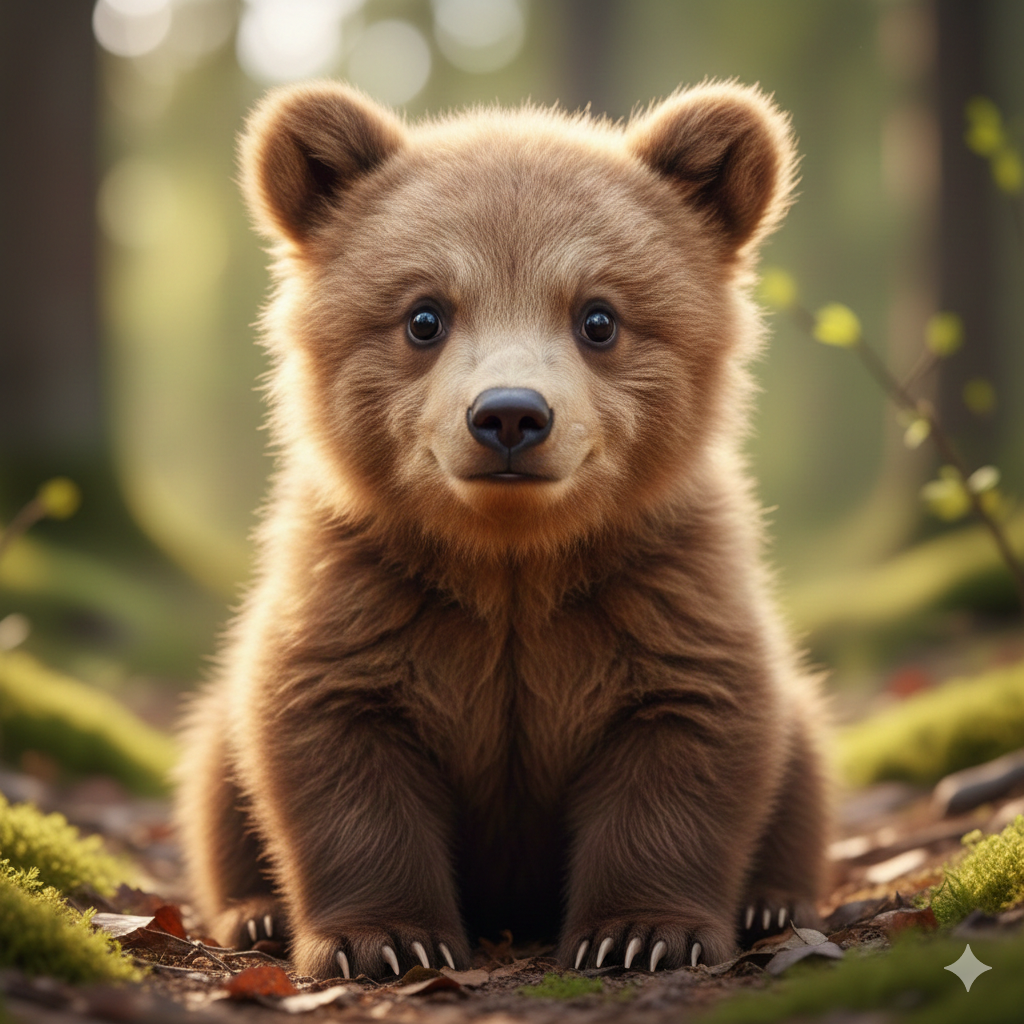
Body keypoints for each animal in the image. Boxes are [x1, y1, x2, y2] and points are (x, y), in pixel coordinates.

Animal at [174, 79, 830, 981]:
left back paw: (775, 901)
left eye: (599, 317)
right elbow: (337, 762)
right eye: (424, 315)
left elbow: (687, 747)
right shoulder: (363, 602)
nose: (511, 415)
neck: (511, 563)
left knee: (803, 768)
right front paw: (382, 940)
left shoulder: (663, 597)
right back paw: (254, 913)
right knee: (214, 776)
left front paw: (640, 932)